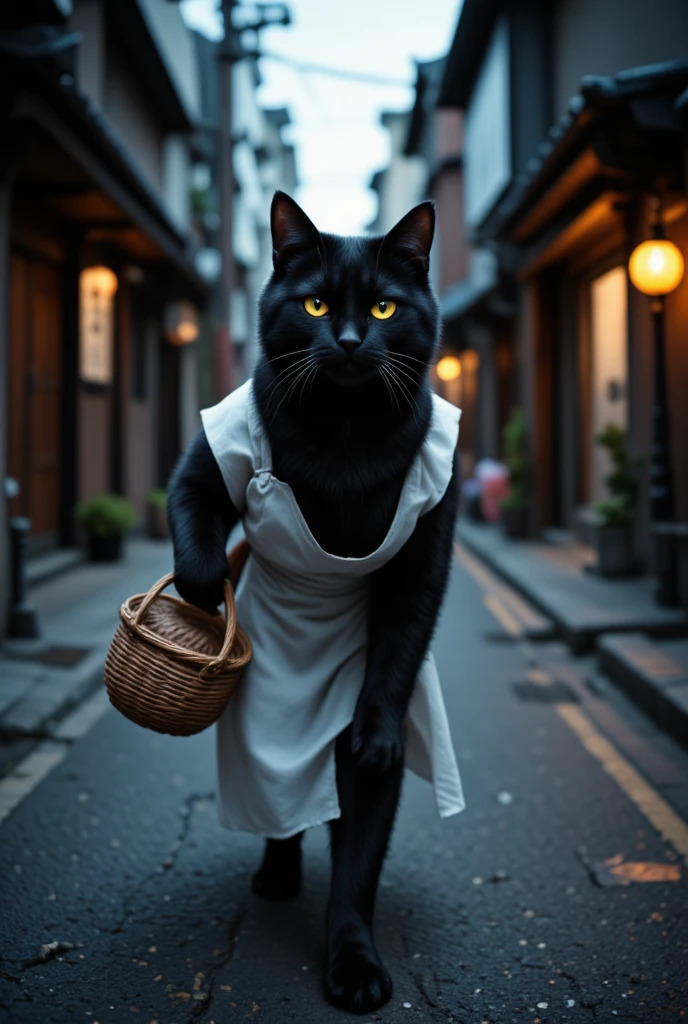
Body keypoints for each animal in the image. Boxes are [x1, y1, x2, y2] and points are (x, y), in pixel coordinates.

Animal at [165, 193, 456, 1015]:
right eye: (317, 303)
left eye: (385, 306)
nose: (351, 341)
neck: (346, 438)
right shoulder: (207, 461)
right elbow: (195, 525)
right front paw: (205, 595)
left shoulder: (423, 561)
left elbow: (359, 856)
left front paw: (353, 968)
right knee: (280, 805)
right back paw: (276, 873)